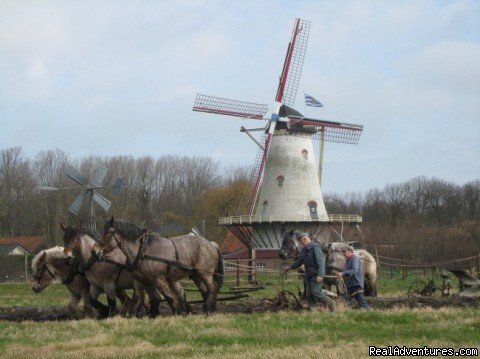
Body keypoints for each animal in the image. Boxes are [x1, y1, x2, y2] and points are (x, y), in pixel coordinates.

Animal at [93, 217, 224, 316]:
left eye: (106, 233)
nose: (94, 251)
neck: (143, 250)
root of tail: (210, 244)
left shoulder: (159, 280)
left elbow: (169, 297)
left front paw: (178, 313)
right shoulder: (145, 282)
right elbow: (151, 298)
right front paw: (151, 315)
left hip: (205, 274)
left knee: (213, 288)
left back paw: (211, 309)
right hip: (196, 275)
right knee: (205, 291)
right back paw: (206, 308)